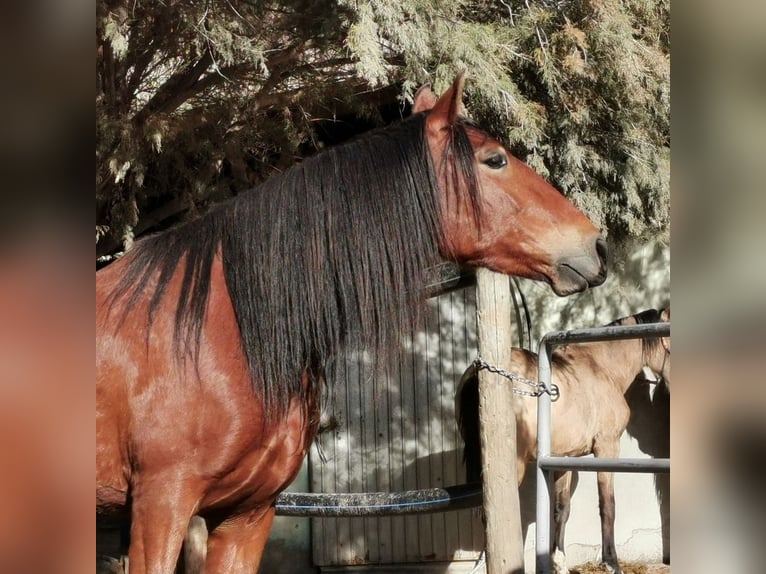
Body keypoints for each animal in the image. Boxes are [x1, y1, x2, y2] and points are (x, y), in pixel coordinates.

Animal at [456, 310, 672, 574]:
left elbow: (562, 509)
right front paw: (612, 562)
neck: (601, 368)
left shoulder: (563, 458)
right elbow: (608, 505)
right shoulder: (607, 447)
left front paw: (559, 563)